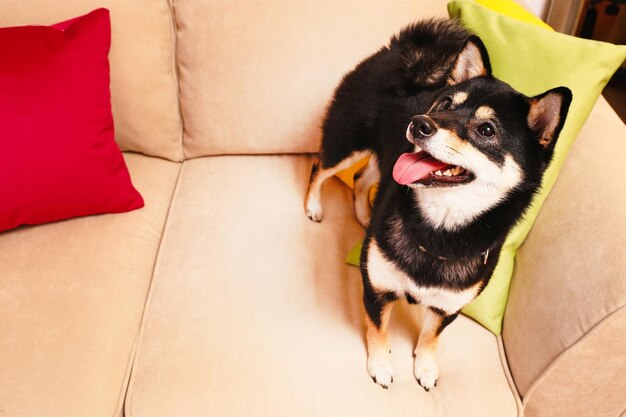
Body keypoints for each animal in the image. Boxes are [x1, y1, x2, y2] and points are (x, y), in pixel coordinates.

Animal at [302, 19, 572, 390]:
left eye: (486, 130)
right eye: (444, 104)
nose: (420, 123)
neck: (438, 235)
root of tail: (400, 55)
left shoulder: (449, 307)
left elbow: (432, 335)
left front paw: (426, 367)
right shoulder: (377, 286)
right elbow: (378, 327)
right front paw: (381, 365)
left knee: (362, 179)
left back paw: (364, 215)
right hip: (346, 143)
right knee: (319, 169)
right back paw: (314, 206)